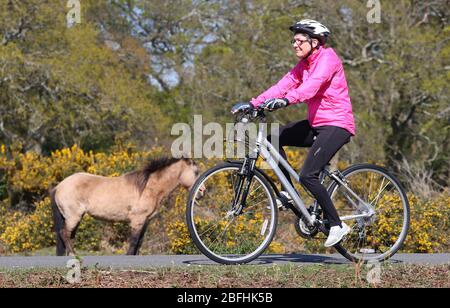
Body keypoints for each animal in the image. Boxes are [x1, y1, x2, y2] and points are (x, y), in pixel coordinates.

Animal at [50, 158, 201, 256]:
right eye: (196, 172)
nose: (201, 192)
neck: (148, 187)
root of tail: (59, 186)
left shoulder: (145, 221)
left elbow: (139, 242)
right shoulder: (137, 220)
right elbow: (134, 242)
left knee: (68, 236)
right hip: (73, 217)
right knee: (64, 234)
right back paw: (73, 255)